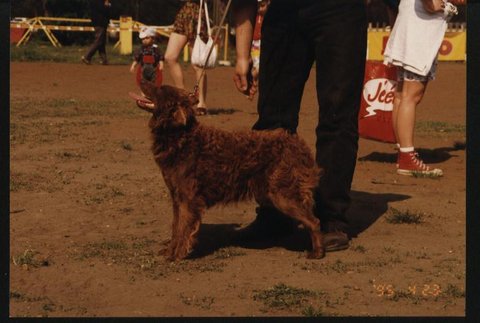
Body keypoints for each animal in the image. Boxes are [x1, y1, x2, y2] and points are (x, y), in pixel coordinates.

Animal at [135, 84, 326, 264]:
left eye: (160, 89)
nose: (143, 79)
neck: (181, 137)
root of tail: (299, 145)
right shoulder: (177, 196)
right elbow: (176, 227)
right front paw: (170, 250)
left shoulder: (187, 199)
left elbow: (183, 228)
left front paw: (176, 255)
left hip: (283, 194)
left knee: (314, 221)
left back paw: (318, 252)